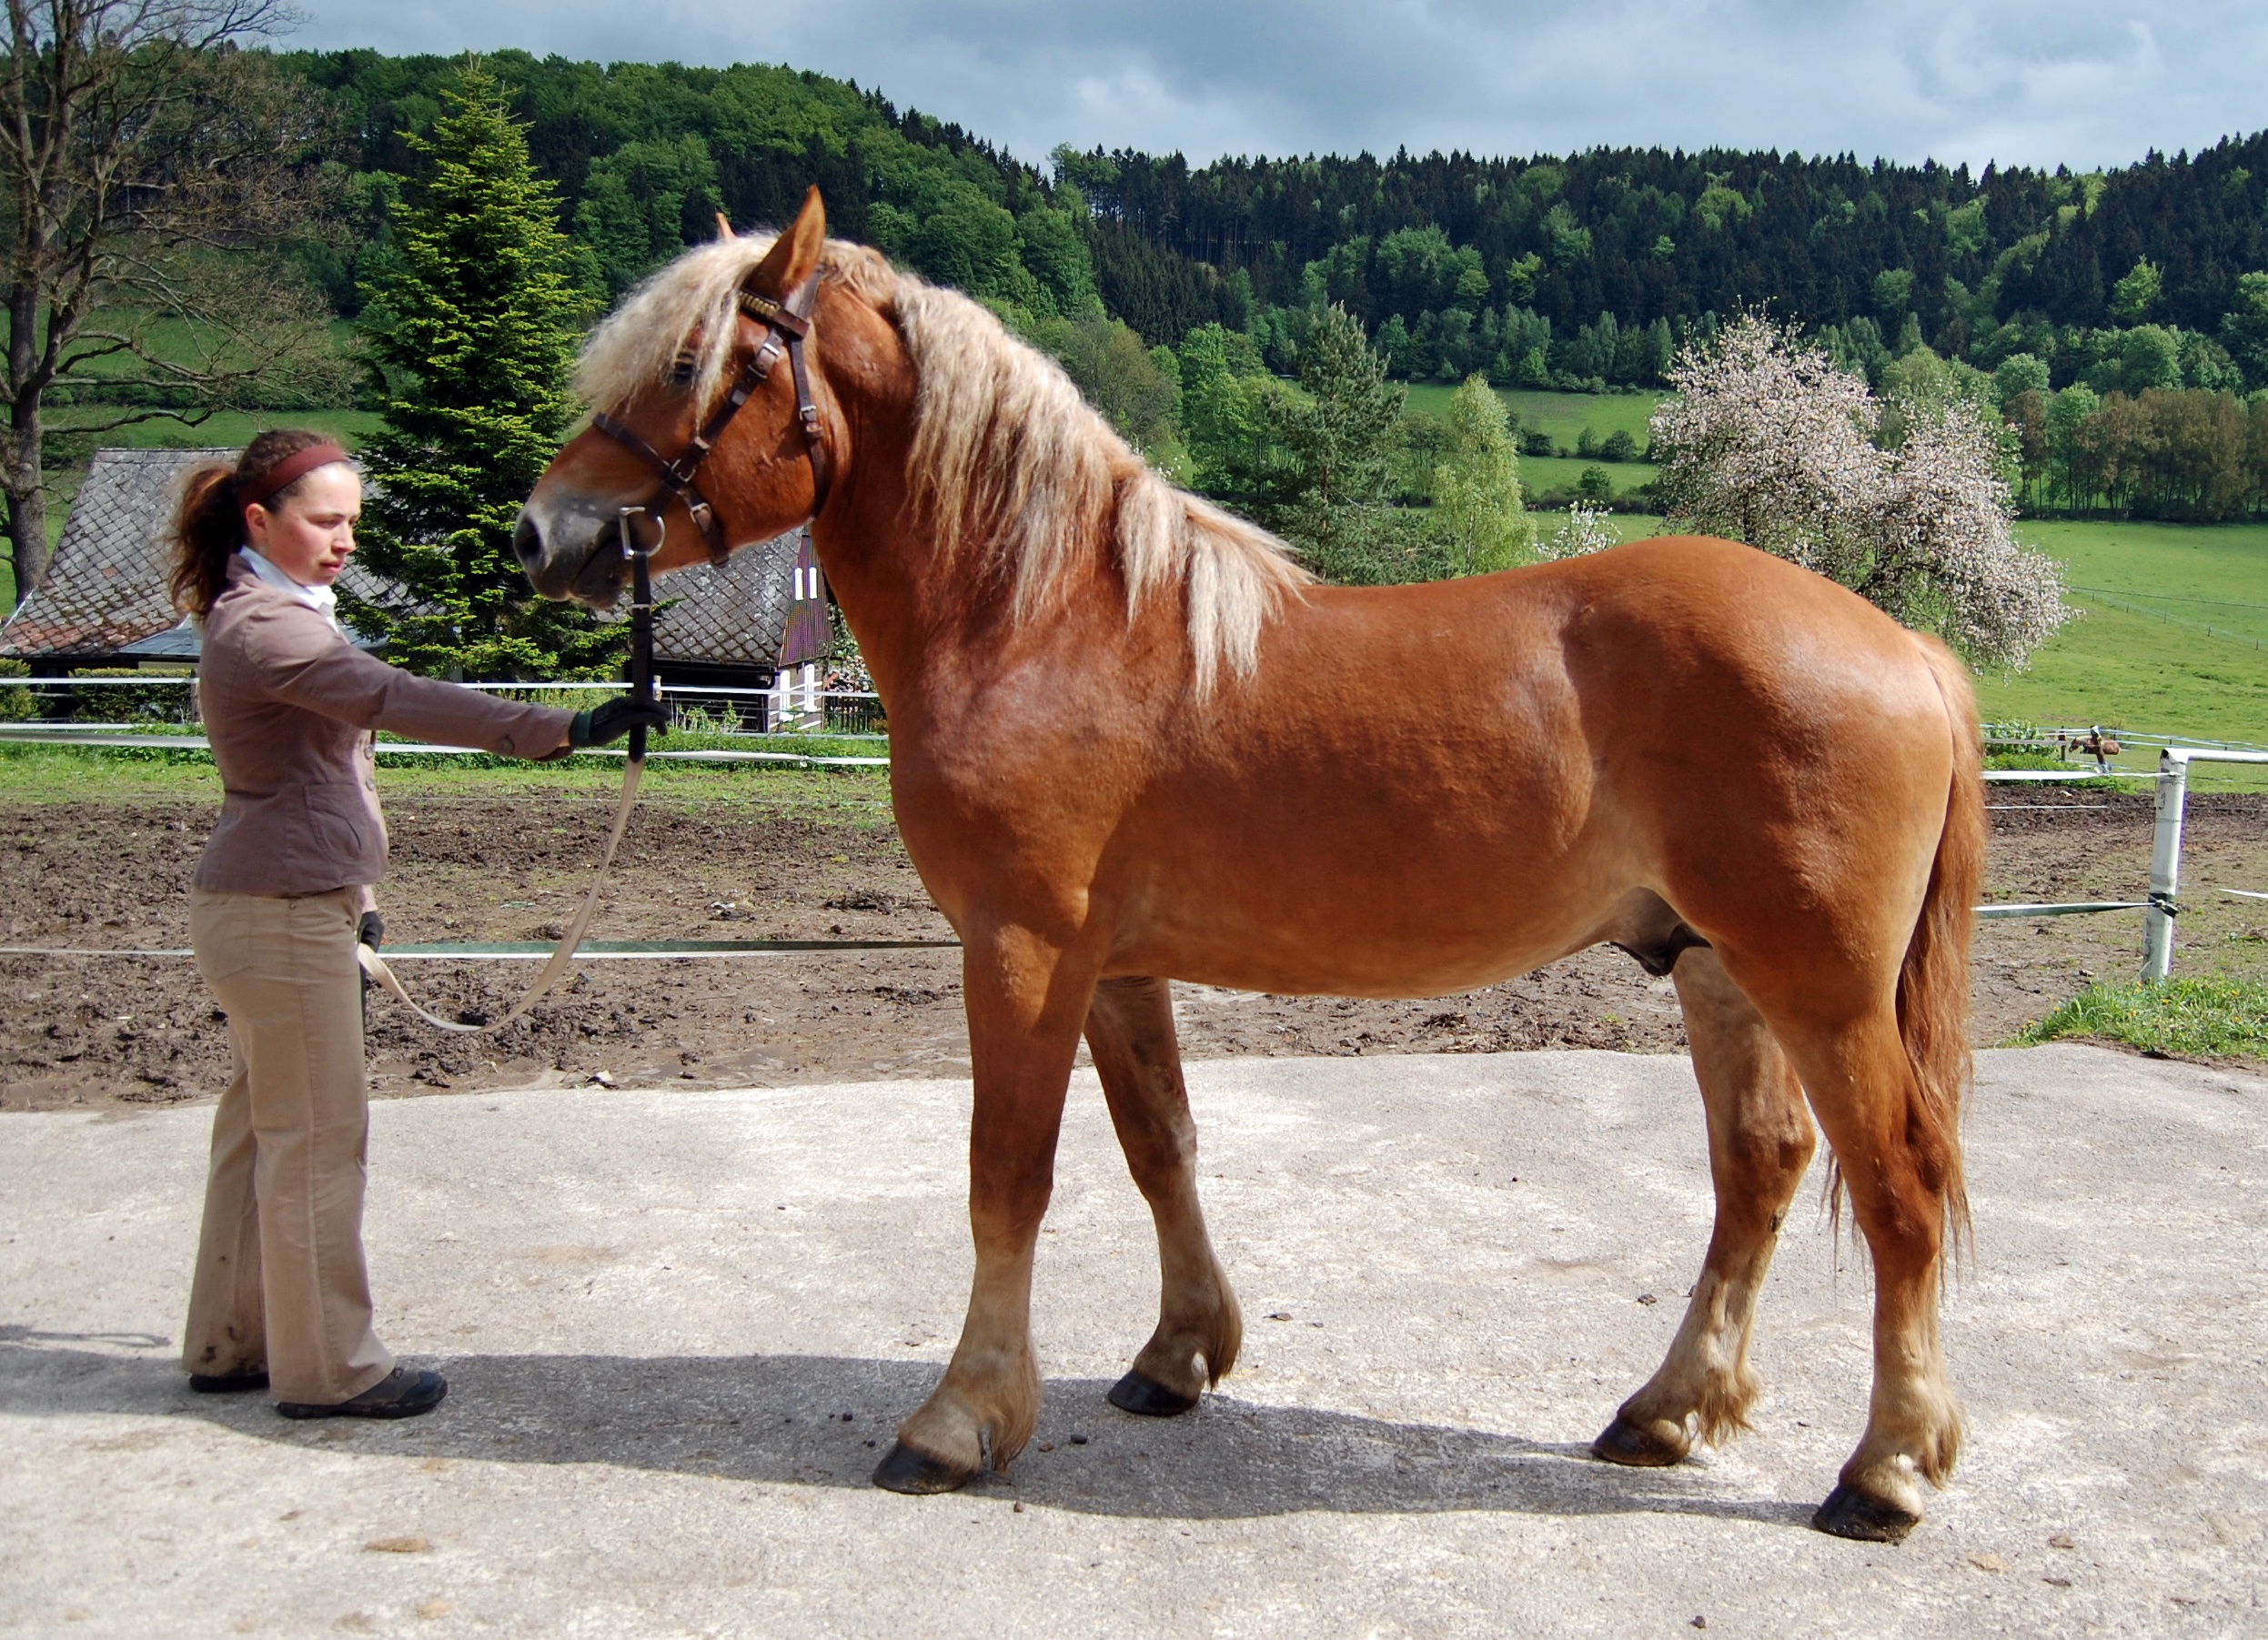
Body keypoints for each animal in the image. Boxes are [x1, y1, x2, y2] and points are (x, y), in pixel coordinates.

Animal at [519, 186, 1986, 1542]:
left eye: (688, 366)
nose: (548, 533)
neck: (1044, 618)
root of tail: (1908, 648)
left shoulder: (1021, 949)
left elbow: (1011, 1173)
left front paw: (961, 1415)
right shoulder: (1112, 968)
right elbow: (1158, 1146)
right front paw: (1178, 1356)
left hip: (1821, 987)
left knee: (1903, 1185)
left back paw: (1885, 1469)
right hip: (1715, 966)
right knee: (1762, 1168)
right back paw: (1667, 1410)